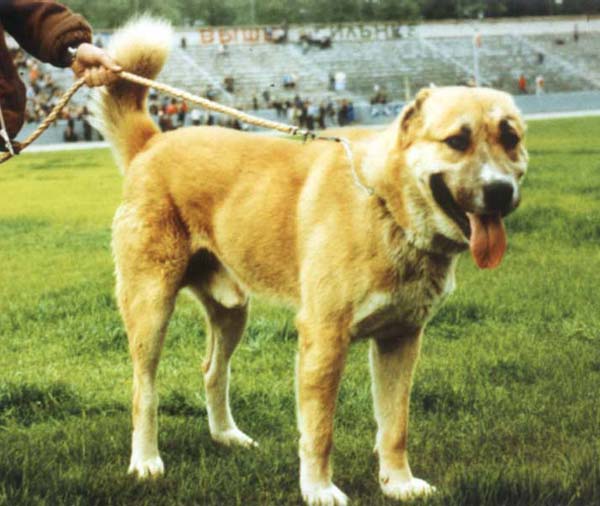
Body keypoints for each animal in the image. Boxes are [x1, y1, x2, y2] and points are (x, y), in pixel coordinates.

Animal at [91, 18, 528, 506]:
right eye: (457, 141)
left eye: (511, 138)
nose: (500, 192)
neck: (384, 205)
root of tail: (152, 142)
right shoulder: (324, 340)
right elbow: (320, 432)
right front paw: (319, 489)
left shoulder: (400, 340)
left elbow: (394, 426)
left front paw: (398, 483)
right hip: (151, 309)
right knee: (143, 391)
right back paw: (146, 460)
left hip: (232, 309)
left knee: (213, 371)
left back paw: (226, 436)